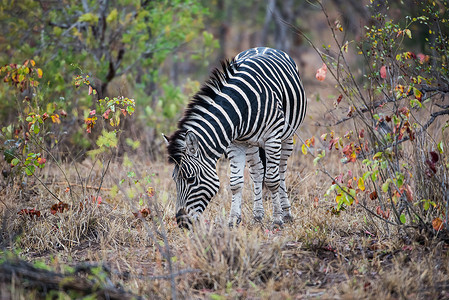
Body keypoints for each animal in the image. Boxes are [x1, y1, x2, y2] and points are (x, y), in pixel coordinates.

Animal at [164, 47, 308, 229]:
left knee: (281, 171)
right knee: (257, 172)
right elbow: (236, 183)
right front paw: (233, 220)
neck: (244, 106)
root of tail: (265, 47)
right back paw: (258, 215)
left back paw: (286, 213)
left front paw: (277, 220)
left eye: (190, 179)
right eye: (174, 179)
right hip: (251, 143)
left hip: (287, 135)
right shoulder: (235, 143)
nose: (181, 222)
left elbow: (272, 180)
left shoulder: (272, 138)